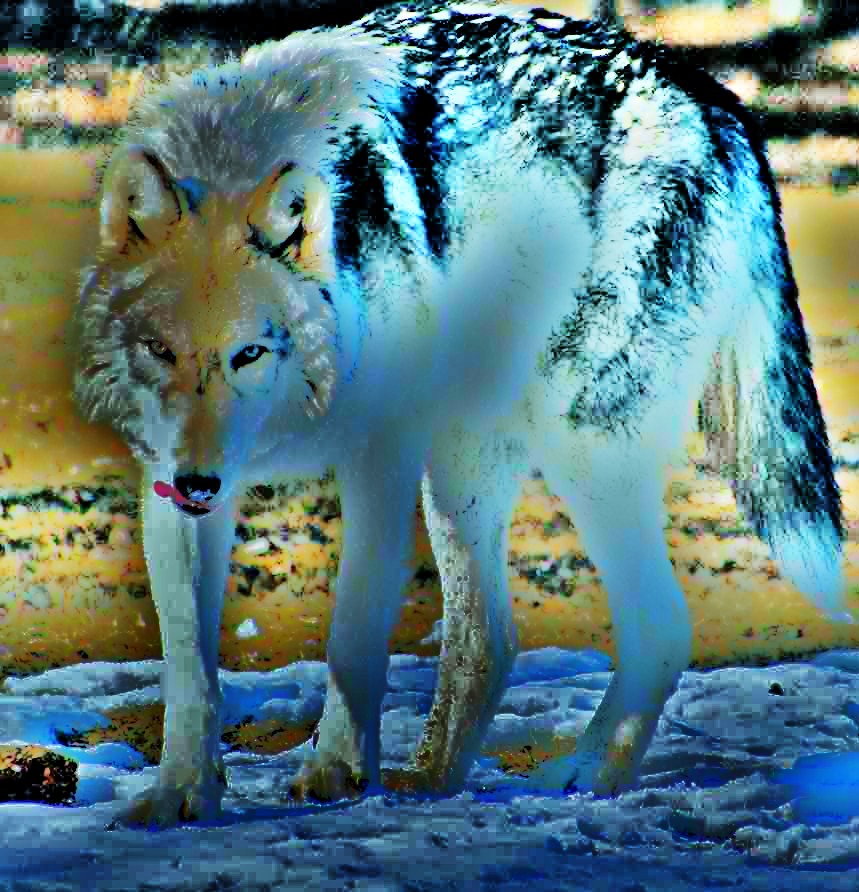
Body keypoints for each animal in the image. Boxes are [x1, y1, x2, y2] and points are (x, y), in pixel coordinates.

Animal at [70, 1, 852, 829]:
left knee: (660, 626)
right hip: (459, 477)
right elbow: (189, 666)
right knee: (494, 639)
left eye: (250, 354)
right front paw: (180, 796)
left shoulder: (378, 458)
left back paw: (585, 777)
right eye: (158, 350)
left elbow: (351, 640)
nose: (199, 482)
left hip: (575, 450)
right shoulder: (171, 484)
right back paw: (433, 778)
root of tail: (716, 100)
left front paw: (336, 774)